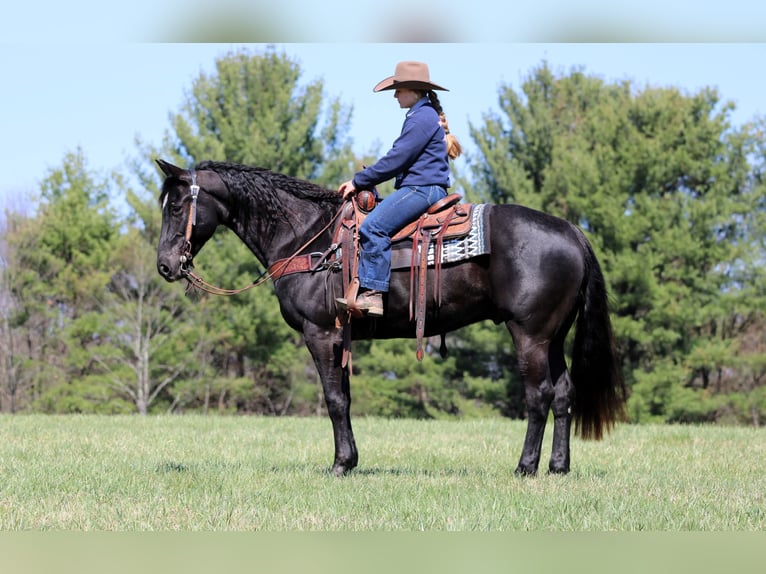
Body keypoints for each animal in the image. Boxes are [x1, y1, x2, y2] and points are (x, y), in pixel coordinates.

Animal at [155, 159, 625, 477]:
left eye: (176, 207)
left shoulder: (319, 334)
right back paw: (558, 467)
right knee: (563, 393)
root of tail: (571, 230)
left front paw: (340, 465)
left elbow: (334, 400)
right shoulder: (339, 339)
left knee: (539, 394)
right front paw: (350, 461)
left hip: (529, 335)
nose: (165, 265)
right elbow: (344, 399)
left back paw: (525, 467)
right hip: (553, 336)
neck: (308, 238)